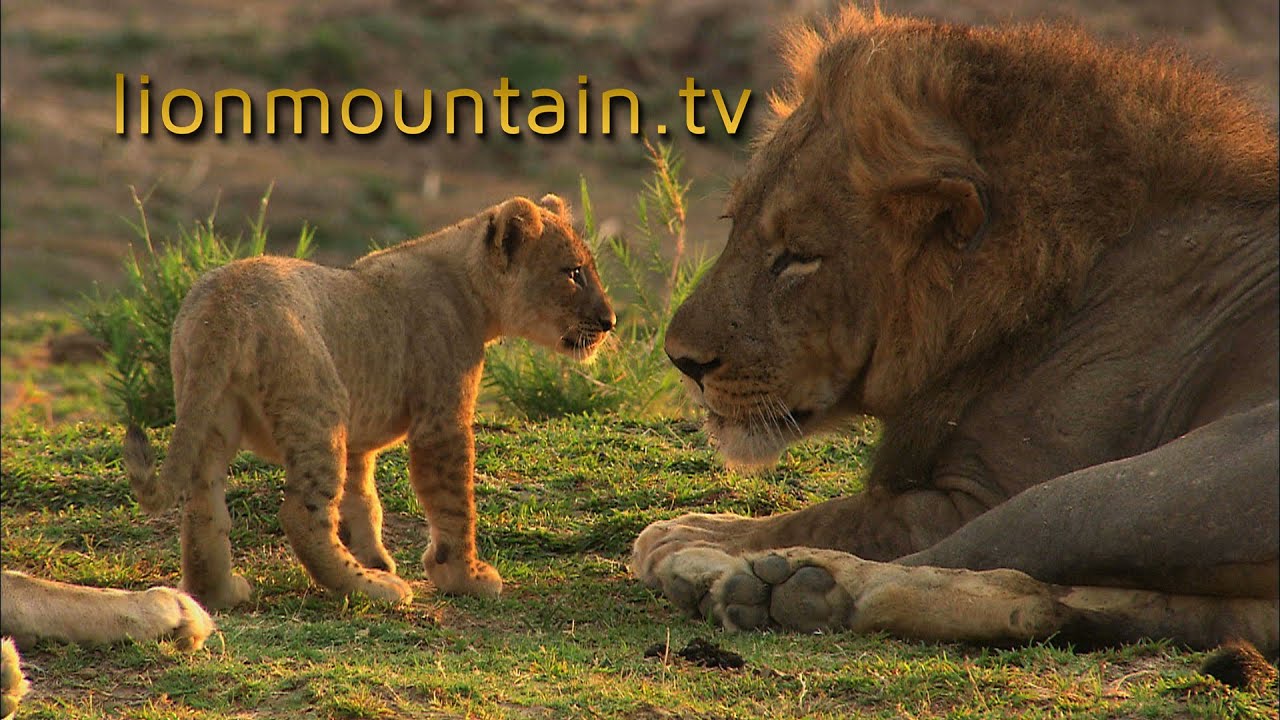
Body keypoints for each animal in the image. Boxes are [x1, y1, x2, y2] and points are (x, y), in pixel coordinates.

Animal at [126, 194, 614, 609]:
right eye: (573, 273)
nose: (610, 320)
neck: (472, 292)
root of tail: (223, 303)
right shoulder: (441, 420)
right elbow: (454, 501)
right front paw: (464, 576)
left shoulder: (360, 440)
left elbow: (363, 502)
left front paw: (376, 558)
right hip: (320, 407)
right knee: (301, 514)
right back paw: (373, 590)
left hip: (211, 412)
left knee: (202, 507)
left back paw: (222, 592)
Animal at [631, 8, 1279, 657]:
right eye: (734, 222)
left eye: (798, 258)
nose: (682, 361)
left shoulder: (981, 492)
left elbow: (845, 515)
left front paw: (695, 533)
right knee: (1060, 600)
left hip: (1134, 492)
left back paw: (737, 572)